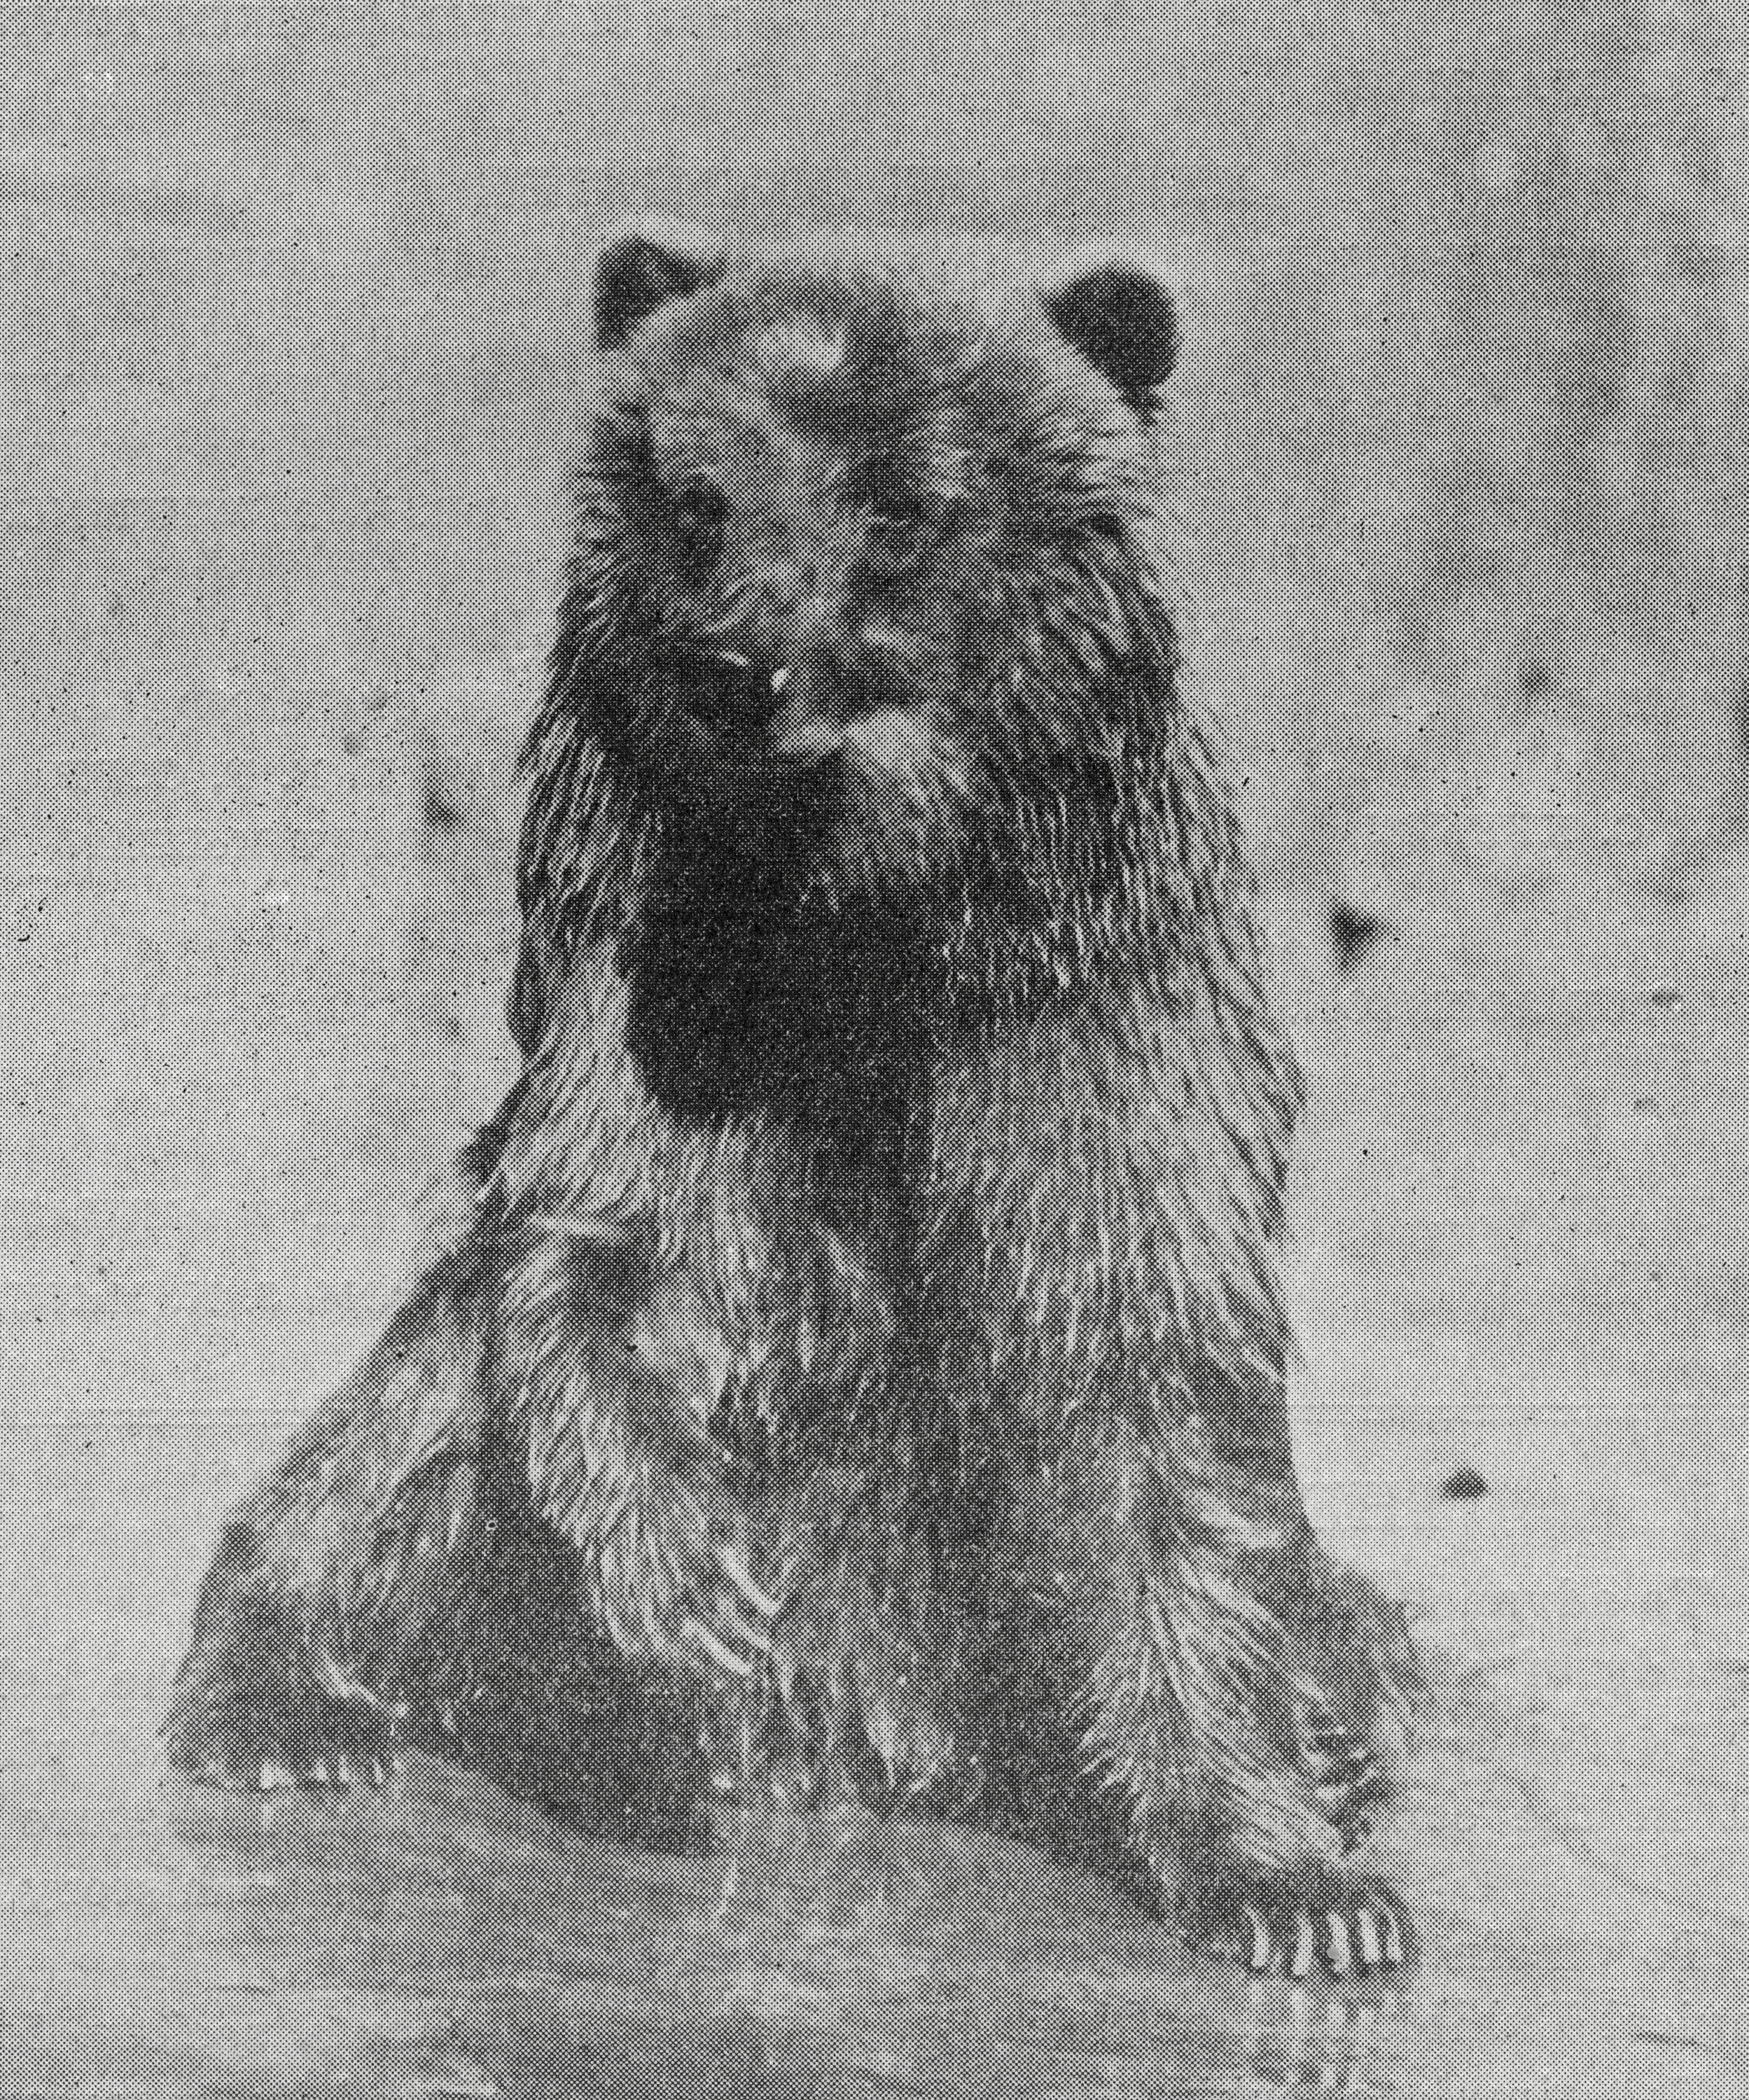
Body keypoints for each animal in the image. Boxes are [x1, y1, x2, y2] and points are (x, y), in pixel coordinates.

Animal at [166, 226, 1420, 1978]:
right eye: (699, 496)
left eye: (900, 504)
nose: (734, 668)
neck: (865, 911)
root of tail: (866, 1753)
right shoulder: (673, 992)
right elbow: (605, 1257)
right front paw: (694, 1572)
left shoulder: (1081, 1025)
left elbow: (1155, 1389)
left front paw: (1294, 1885)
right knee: (398, 1424)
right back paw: (291, 1704)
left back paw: (1337, 1734)